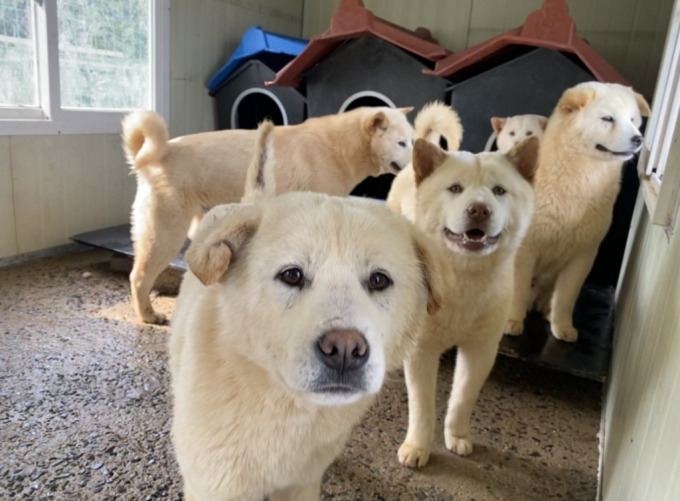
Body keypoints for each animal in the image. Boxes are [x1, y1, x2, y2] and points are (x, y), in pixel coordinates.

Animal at [119, 107, 412, 322]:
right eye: (402, 143)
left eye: (411, 140)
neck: (337, 148)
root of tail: (161, 152)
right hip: (166, 232)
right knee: (139, 276)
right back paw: (148, 315)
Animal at [386, 136, 540, 464]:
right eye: (455, 188)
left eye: (499, 190)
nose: (479, 209)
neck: (464, 282)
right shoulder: (421, 350)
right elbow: (422, 406)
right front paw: (417, 447)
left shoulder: (481, 349)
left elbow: (462, 399)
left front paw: (456, 436)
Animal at [508, 82, 652, 342]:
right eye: (608, 119)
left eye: (633, 120)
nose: (638, 139)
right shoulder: (525, 249)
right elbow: (518, 289)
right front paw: (512, 321)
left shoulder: (583, 254)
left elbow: (567, 297)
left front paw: (562, 327)